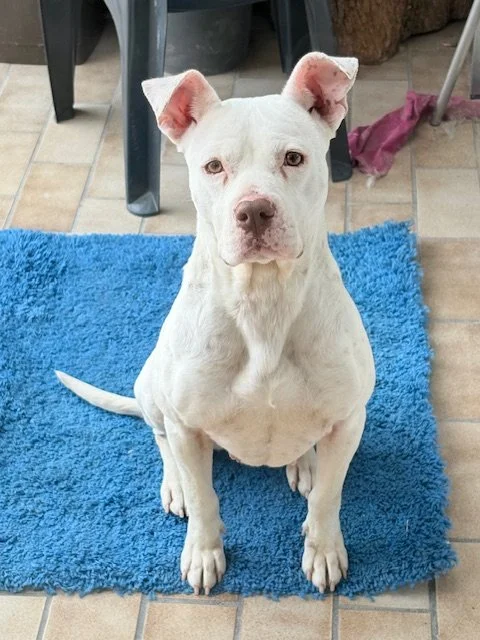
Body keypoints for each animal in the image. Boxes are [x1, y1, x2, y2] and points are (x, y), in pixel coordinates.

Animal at [55, 51, 375, 596]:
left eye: (294, 159)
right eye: (213, 166)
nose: (255, 211)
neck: (263, 300)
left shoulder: (349, 420)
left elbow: (328, 497)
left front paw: (324, 549)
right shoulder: (187, 425)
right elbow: (205, 498)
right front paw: (204, 553)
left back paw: (304, 461)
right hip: (151, 386)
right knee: (161, 439)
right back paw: (176, 486)